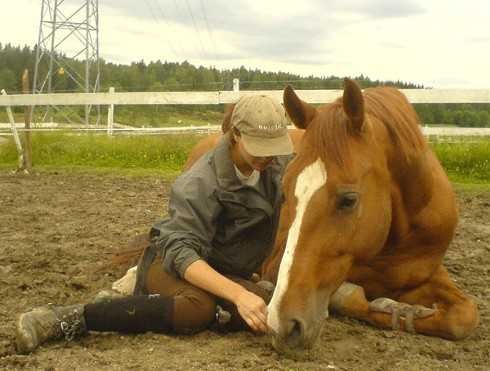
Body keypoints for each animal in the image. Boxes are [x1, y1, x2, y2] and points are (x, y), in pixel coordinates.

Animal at [262, 80, 480, 354]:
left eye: (349, 200)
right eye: (284, 190)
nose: (281, 324)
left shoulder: (430, 274)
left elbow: (463, 316)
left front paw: (405, 313)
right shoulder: (274, 263)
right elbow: (353, 297)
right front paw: (389, 305)